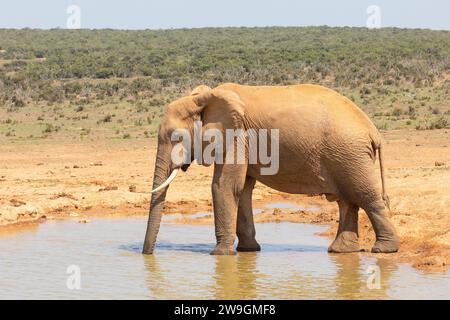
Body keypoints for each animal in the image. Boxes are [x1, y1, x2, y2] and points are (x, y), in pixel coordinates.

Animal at [142, 82, 400, 255]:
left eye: (175, 137)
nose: (147, 255)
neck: (204, 98)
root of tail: (373, 130)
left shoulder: (236, 135)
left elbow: (224, 186)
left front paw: (220, 255)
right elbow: (243, 189)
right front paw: (248, 251)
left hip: (349, 153)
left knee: (366, 197)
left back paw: (383, 250)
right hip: (347, 156)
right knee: (347, 201)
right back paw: (341, 252)